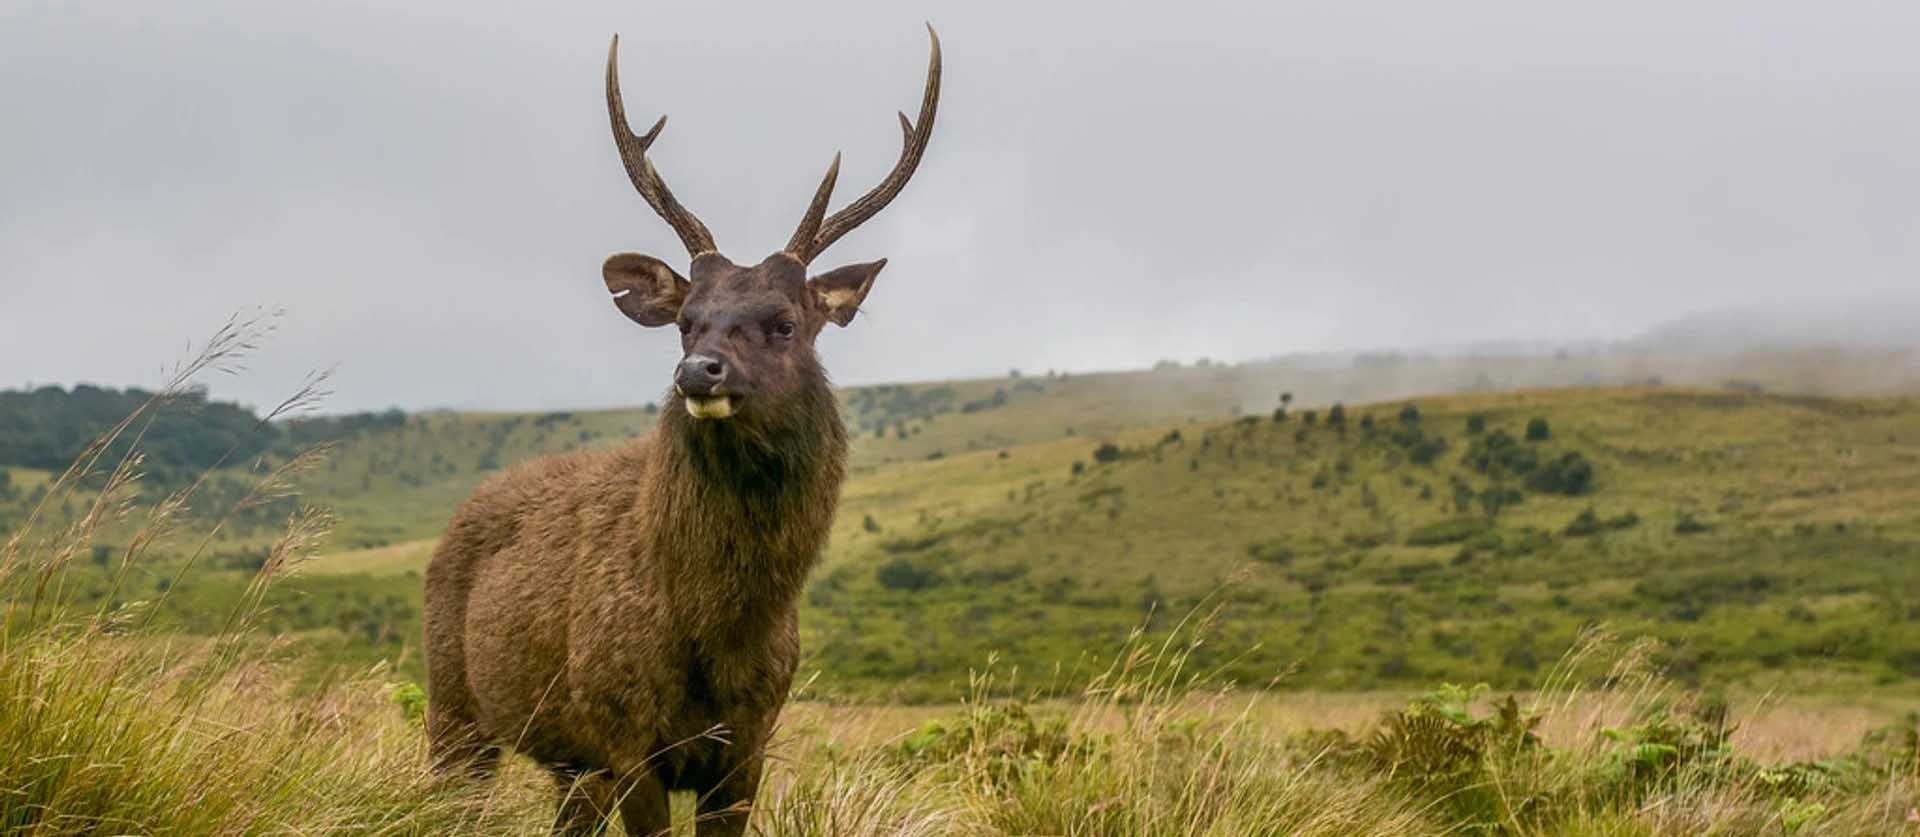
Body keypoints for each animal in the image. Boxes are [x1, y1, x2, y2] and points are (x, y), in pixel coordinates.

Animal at [432, 29, 948, 833]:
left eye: (784, 321)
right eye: (685, 321)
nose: (698, 372)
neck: (717, 631)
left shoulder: (748, 743)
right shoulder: (622, 733)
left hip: (566, 764)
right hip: (452, 702)